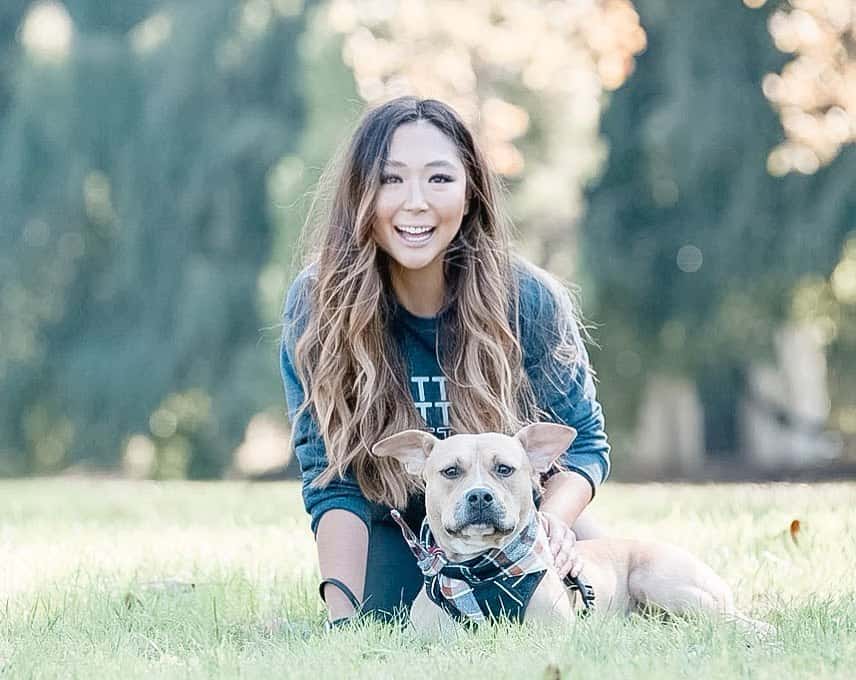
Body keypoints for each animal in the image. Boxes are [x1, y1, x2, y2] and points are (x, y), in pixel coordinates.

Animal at [372, 422, 772, 636]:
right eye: (450, 471)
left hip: (662, 582)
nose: (480, 496)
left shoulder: (549, 634)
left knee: (731, 620)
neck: (482, 572)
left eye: (504, 469)